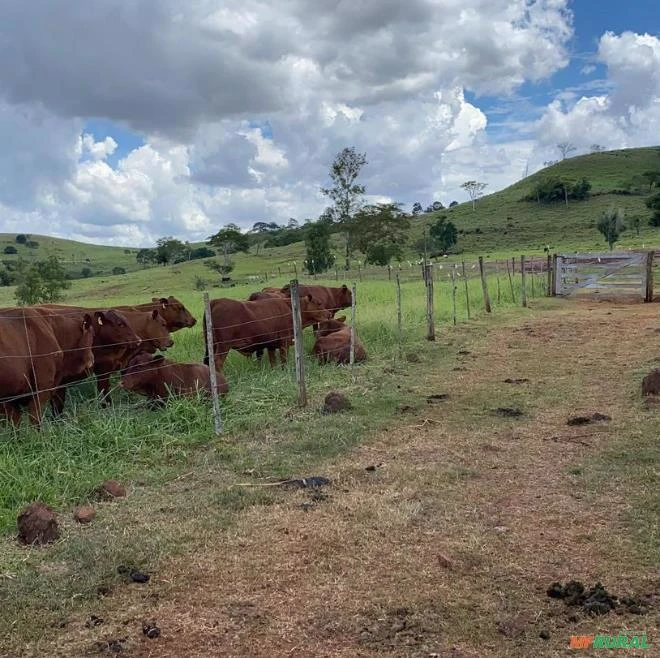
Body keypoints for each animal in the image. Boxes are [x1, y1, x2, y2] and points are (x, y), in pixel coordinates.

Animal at [204, 294, 332, 368]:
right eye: (319, 303)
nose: (329, 313)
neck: (290, 308)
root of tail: (216, 301)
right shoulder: (284, 341)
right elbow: (284, 360)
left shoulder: (271, 344)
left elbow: (273, 361)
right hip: (223, 346)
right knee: (217, 362)